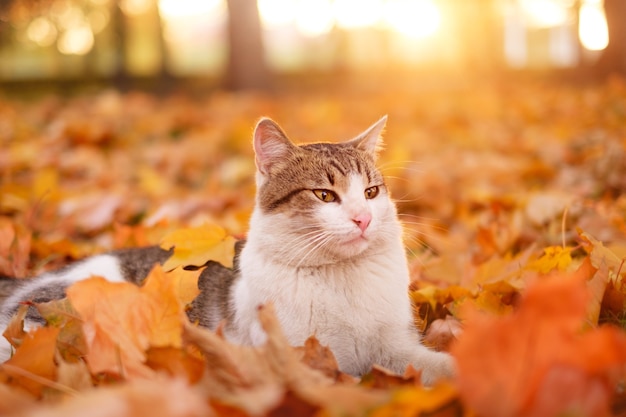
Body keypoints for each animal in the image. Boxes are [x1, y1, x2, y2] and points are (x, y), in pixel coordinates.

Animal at [0, 116, 450, 384]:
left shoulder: (396, 345)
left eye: (371, 192)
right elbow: (348, 381)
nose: (363, 219)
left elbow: (430, 364)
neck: (342, 279)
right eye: (325, 195)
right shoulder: (301, 358)